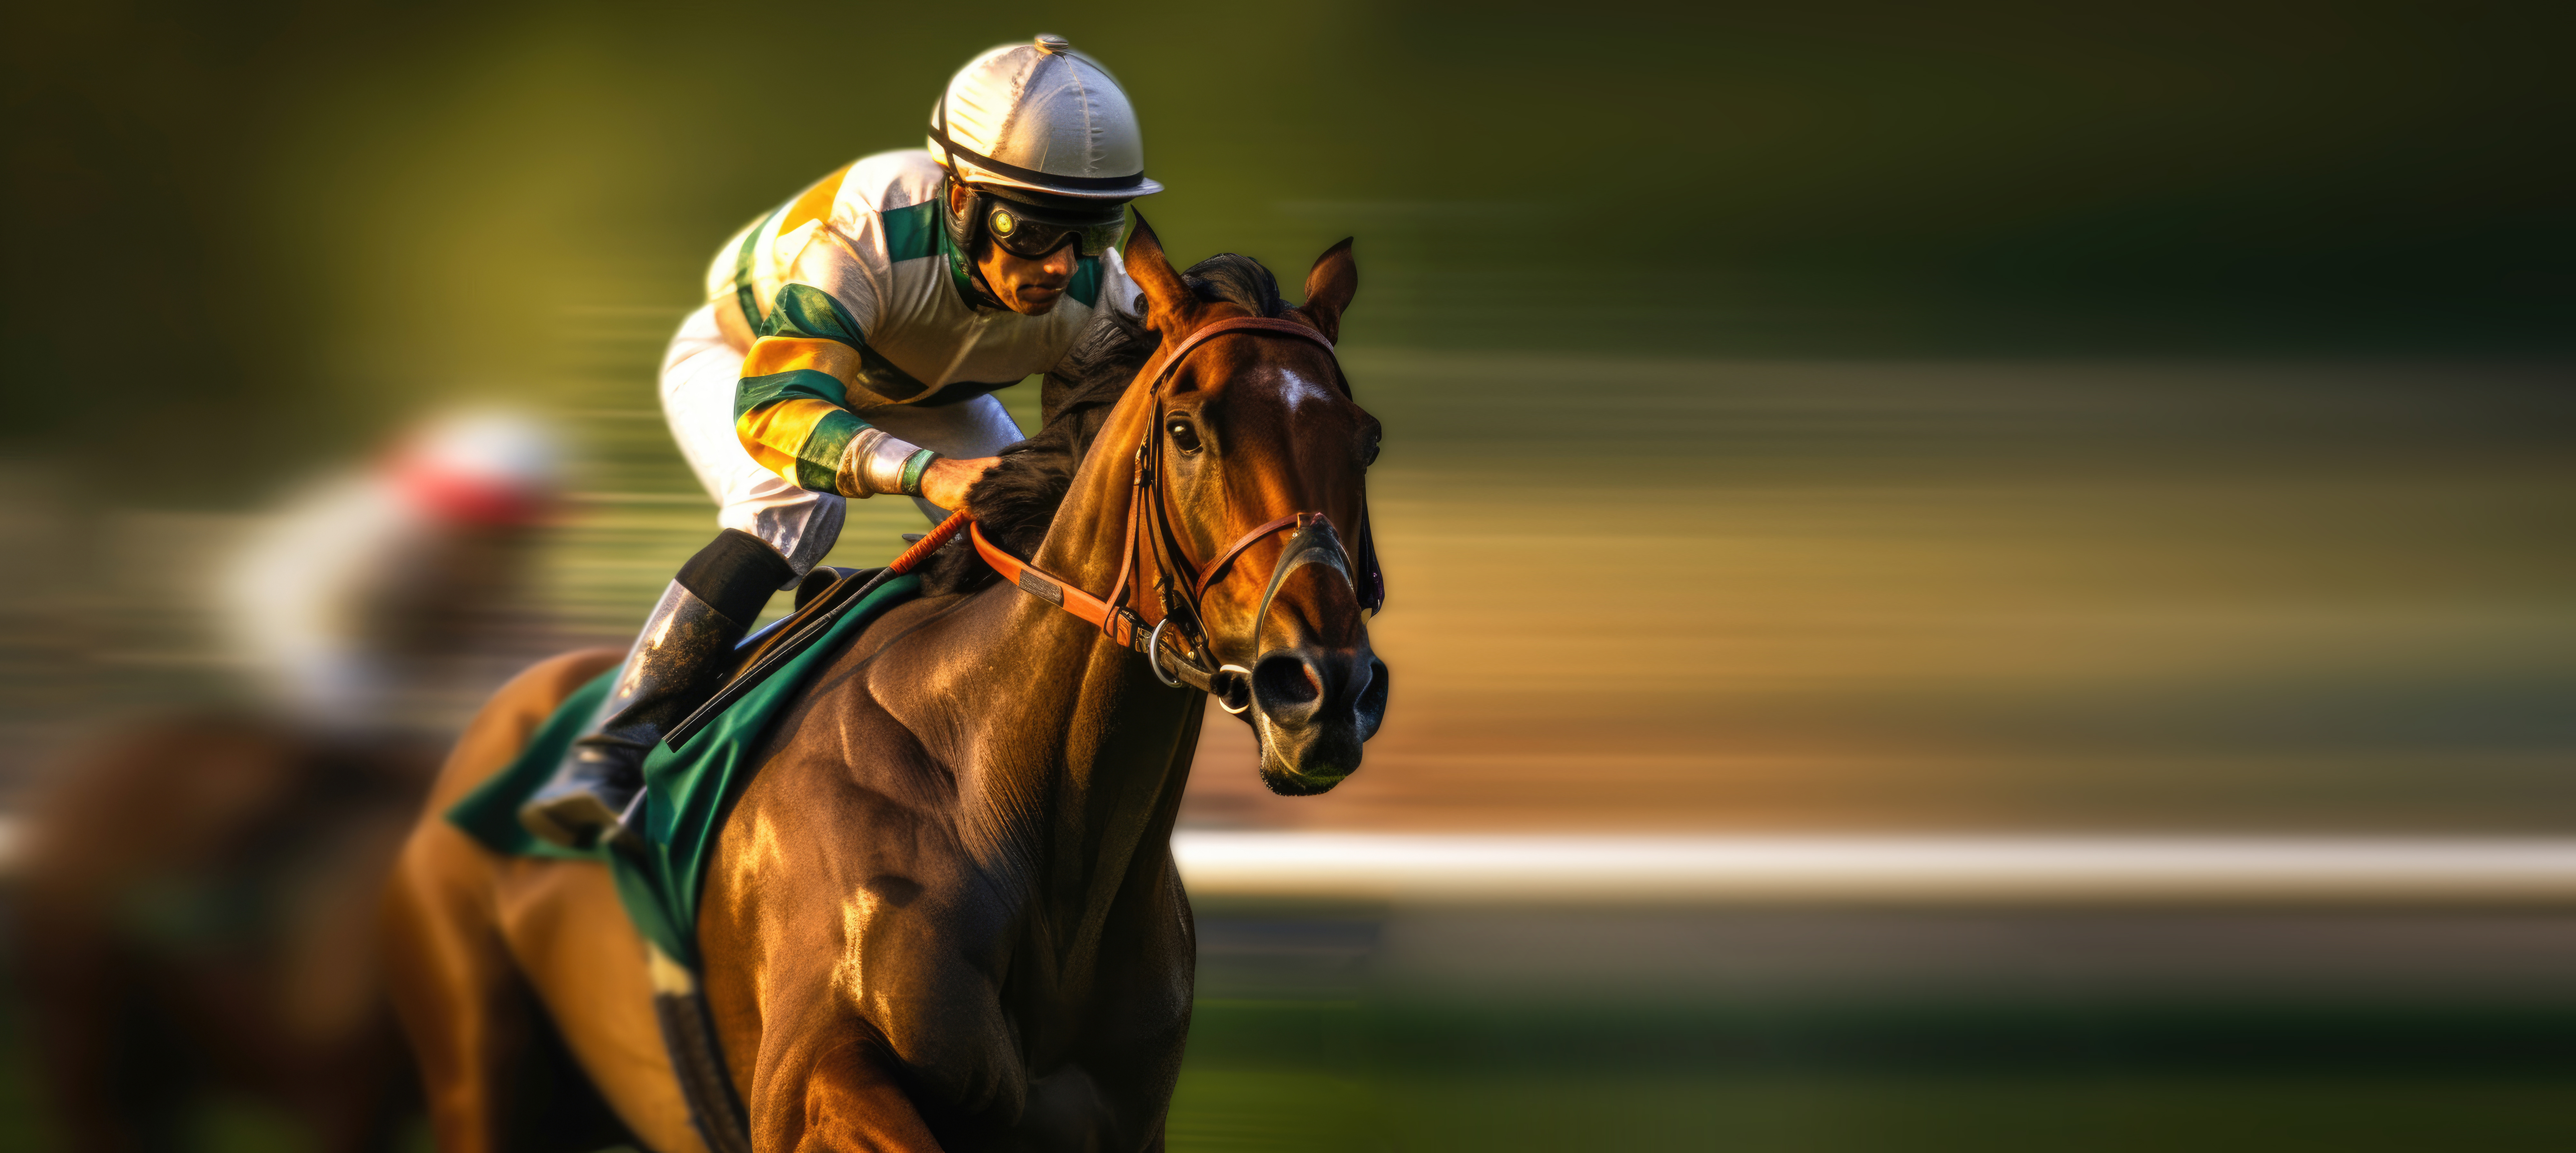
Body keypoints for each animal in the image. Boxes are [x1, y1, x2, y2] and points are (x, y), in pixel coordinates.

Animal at [379, 220, 1385, 1153]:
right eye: (1186, 431)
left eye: (1365, 442)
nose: (1323, 689)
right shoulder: (809, 1084)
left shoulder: (1123, 1125)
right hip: (482, 1072)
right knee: (782, 510)